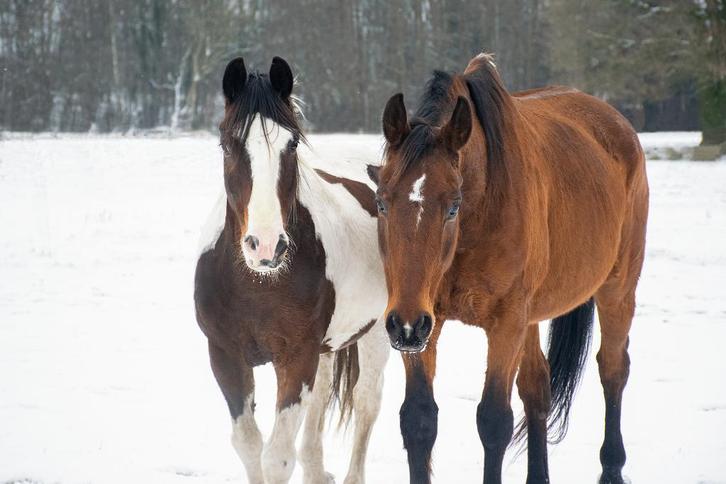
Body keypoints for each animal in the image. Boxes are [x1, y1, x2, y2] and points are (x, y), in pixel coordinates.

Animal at [194, 56, 389, 484]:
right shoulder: (225, 355)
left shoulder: (296, 358)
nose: (267, 246)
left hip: (377, 331)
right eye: (228, 143)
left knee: (367, 402)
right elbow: (248, 445)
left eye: (293, 143)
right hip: (328, 346)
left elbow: (277, 457)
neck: (257, 284)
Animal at [368, 53, 648, 484]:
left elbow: (493, 421)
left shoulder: (504, 323)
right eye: (381, 201)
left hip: (617, 289)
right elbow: (418, 419)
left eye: (453, 206)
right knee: (538, 387)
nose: (406, 326)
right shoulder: (424, 319)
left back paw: (612, 467)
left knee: (613, 369)